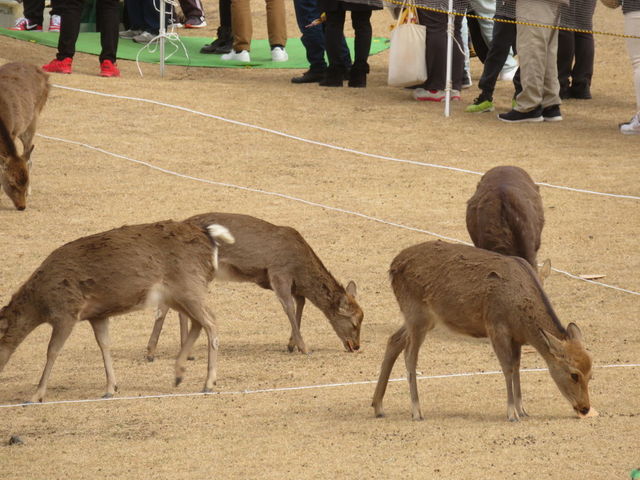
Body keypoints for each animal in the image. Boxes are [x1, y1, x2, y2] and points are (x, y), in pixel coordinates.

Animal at [0, 62, 50, 210]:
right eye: (11, 183)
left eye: (26, 182)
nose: (22, 206)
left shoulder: (13, 132)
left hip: (33, 121)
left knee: (28, 153)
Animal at [0, 220, 234, 402]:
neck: (40, 304)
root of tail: (210, 238)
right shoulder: (97, 315)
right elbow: (104, 344)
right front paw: (111, 388)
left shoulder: (67, 311)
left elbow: (52, 351)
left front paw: (36, 395)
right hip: (178, 294)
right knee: (199, 322)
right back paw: (178, 375)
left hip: (188, 285)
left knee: (211, 322)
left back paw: (208, 383)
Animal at [145, 212, 363, 360]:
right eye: (354, 322)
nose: (356, 346)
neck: (301, 268)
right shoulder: (279, 272)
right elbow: (289, 307)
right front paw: (304, 347)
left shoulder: (293, 285)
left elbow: (300, 303)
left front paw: (291, 344)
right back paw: (151, 352)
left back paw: (184, 351)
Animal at [371, 240, 594, 422]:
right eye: (574, 374)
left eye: (591, 374)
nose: (585, 408)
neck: (522, 317)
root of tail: (392, 267)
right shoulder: (496, 325)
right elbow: (507, 367)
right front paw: (511, 413)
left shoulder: (516, 337)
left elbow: (517, 366)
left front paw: (522, 409)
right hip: (416, 313)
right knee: (410, 356)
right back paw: (416, 411)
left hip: (423, 319)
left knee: (394, 340)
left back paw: (378, 406)